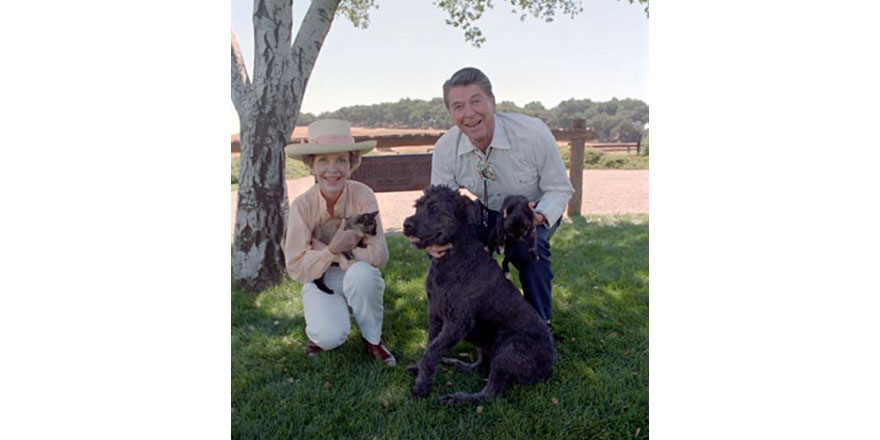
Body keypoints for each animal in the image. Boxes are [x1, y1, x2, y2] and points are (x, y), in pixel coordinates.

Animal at [400, 184, 552, 404]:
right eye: (417, 206)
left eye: (435, 208)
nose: (406, 225)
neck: (453, 258)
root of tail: (551, 364)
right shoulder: (435, 314)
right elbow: (430, 345)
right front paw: (420, 370)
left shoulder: (457, 322)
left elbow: (431, 351)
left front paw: (421, 387)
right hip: (487, 345)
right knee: (479, 368)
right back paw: (453, 363)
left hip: (508, 348)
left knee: (491, 393)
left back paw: (457, 398)